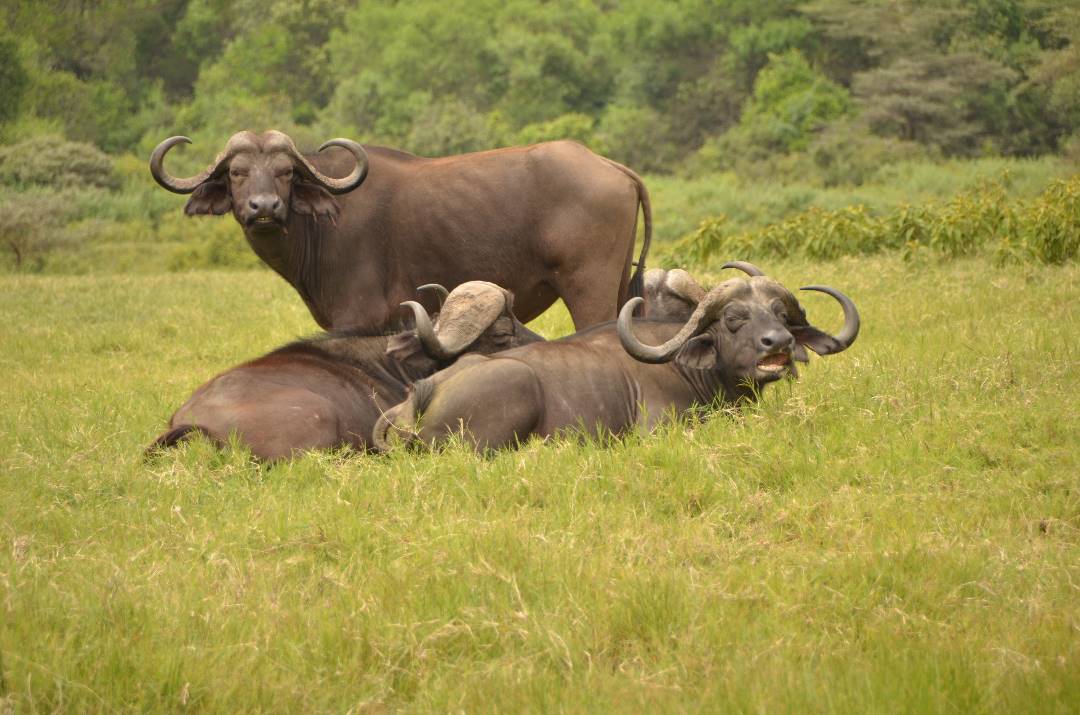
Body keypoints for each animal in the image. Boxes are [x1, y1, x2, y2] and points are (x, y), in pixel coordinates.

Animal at [149, 130, 652, 332]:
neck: (321, 231)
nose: (265, 208)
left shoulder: (356, 319)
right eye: (236, 173)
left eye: (285, 172)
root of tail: (611, 166)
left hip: (589, 289)